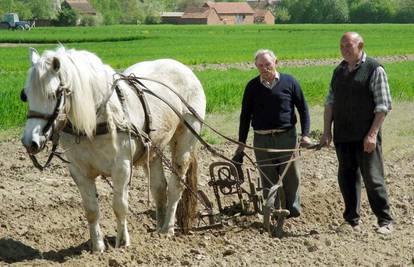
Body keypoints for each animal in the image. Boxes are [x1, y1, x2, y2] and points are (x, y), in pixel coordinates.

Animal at [20, 47, 206, 252]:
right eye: (25, 95)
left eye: (53, 94)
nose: (30, 142)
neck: (93, 123)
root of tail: (182, 67)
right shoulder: (79, 171)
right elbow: (91, 210)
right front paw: (97, 248)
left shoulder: (121, 167)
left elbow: (119, 206)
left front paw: (122, 244)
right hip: (153, 149)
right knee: (159, 189)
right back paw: (158, 229)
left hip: (185, 140)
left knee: (175, 186)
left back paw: (167, 230)